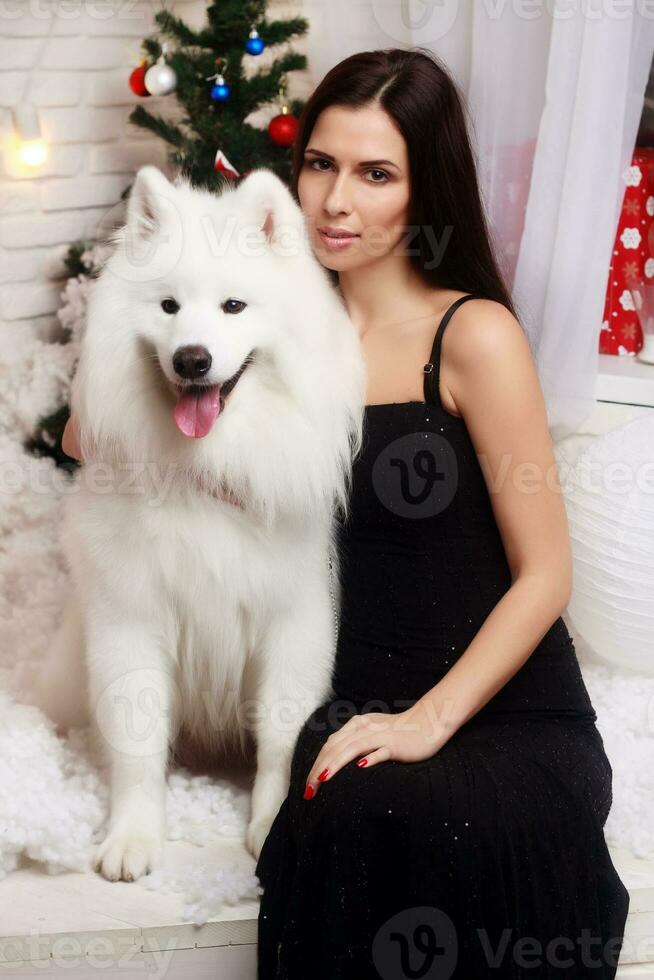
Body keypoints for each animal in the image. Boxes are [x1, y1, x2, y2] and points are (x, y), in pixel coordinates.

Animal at [33, 165, 366, 884]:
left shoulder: (292, 623)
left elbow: (280, 739)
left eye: (233, 307)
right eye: (168, 307)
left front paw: (267, 827)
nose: (191, 359)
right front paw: (132, 838)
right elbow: (136, 743)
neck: (206, 467)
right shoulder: (130, 620)